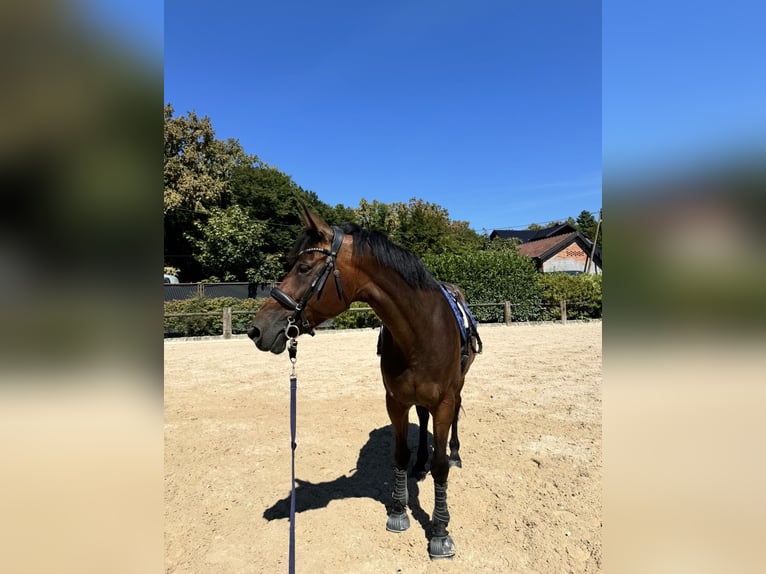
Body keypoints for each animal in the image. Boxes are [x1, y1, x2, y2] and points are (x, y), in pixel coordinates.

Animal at [248, 205, 481, 559]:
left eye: (303, 267)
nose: (257, 329)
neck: (420, 332)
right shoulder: (395, 400)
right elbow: (399, 455)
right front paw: (399, 511)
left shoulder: (443, 400)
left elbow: (441, 466)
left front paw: (440, 531)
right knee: (422, 418)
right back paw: (420, 464)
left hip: (458, 388)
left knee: (454, 420)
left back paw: (455, 454)